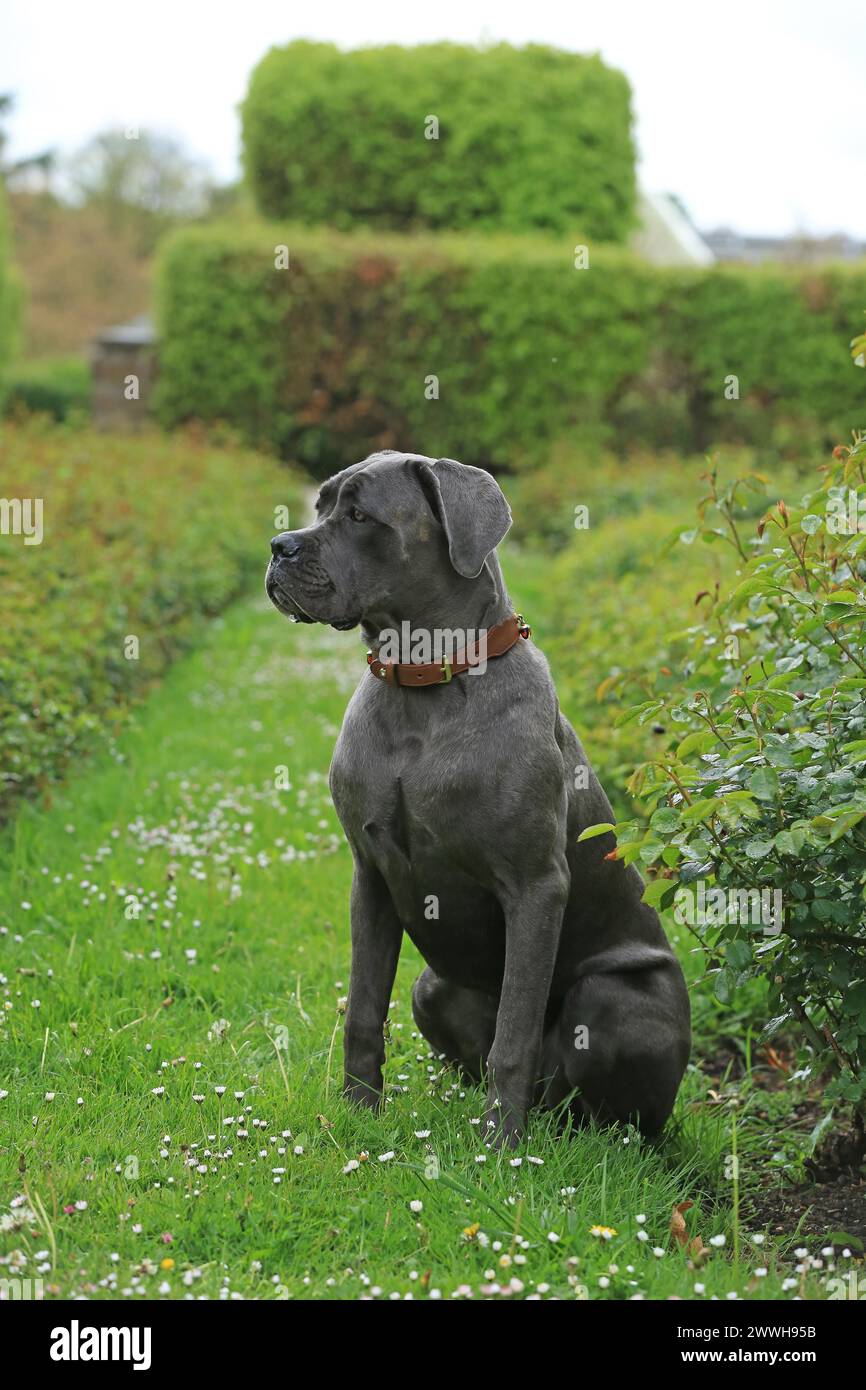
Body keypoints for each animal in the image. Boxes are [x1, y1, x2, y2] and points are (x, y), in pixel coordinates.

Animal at [264, 450, 692, 1145]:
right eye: (320, 504)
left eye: (359, 515)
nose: (279, 547)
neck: (422, 685)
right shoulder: (370, 876)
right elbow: (363, 1010)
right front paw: (358, 1115)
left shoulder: (536, 885)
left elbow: (513, 1035)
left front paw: (501, 1149)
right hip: (431, 987)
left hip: (617, 998)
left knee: (619, 1114)